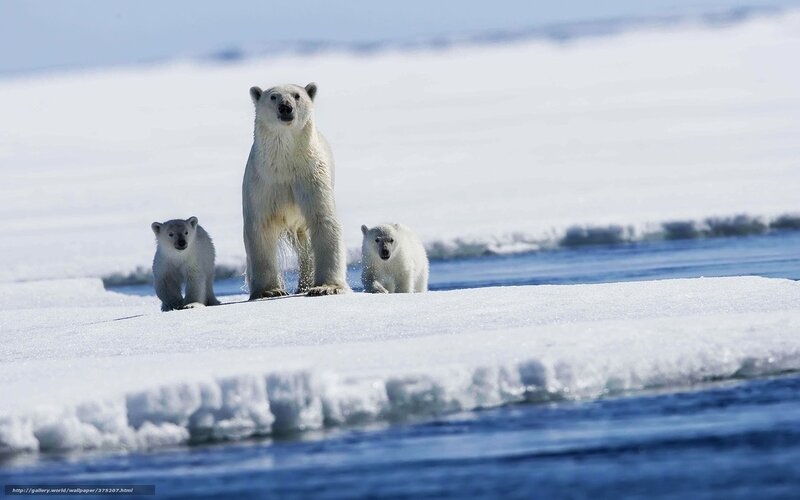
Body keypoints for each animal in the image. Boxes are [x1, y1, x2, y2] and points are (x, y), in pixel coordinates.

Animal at [242, 82, 349, 299]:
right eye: (273, 96)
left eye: (297, 95)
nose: (285, 107)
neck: (285, 164)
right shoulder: (262, 183)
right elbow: (260, 227)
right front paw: (270, 290)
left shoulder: (311, 176)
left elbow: (324, 220)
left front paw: (326, 287)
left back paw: (305, 285)